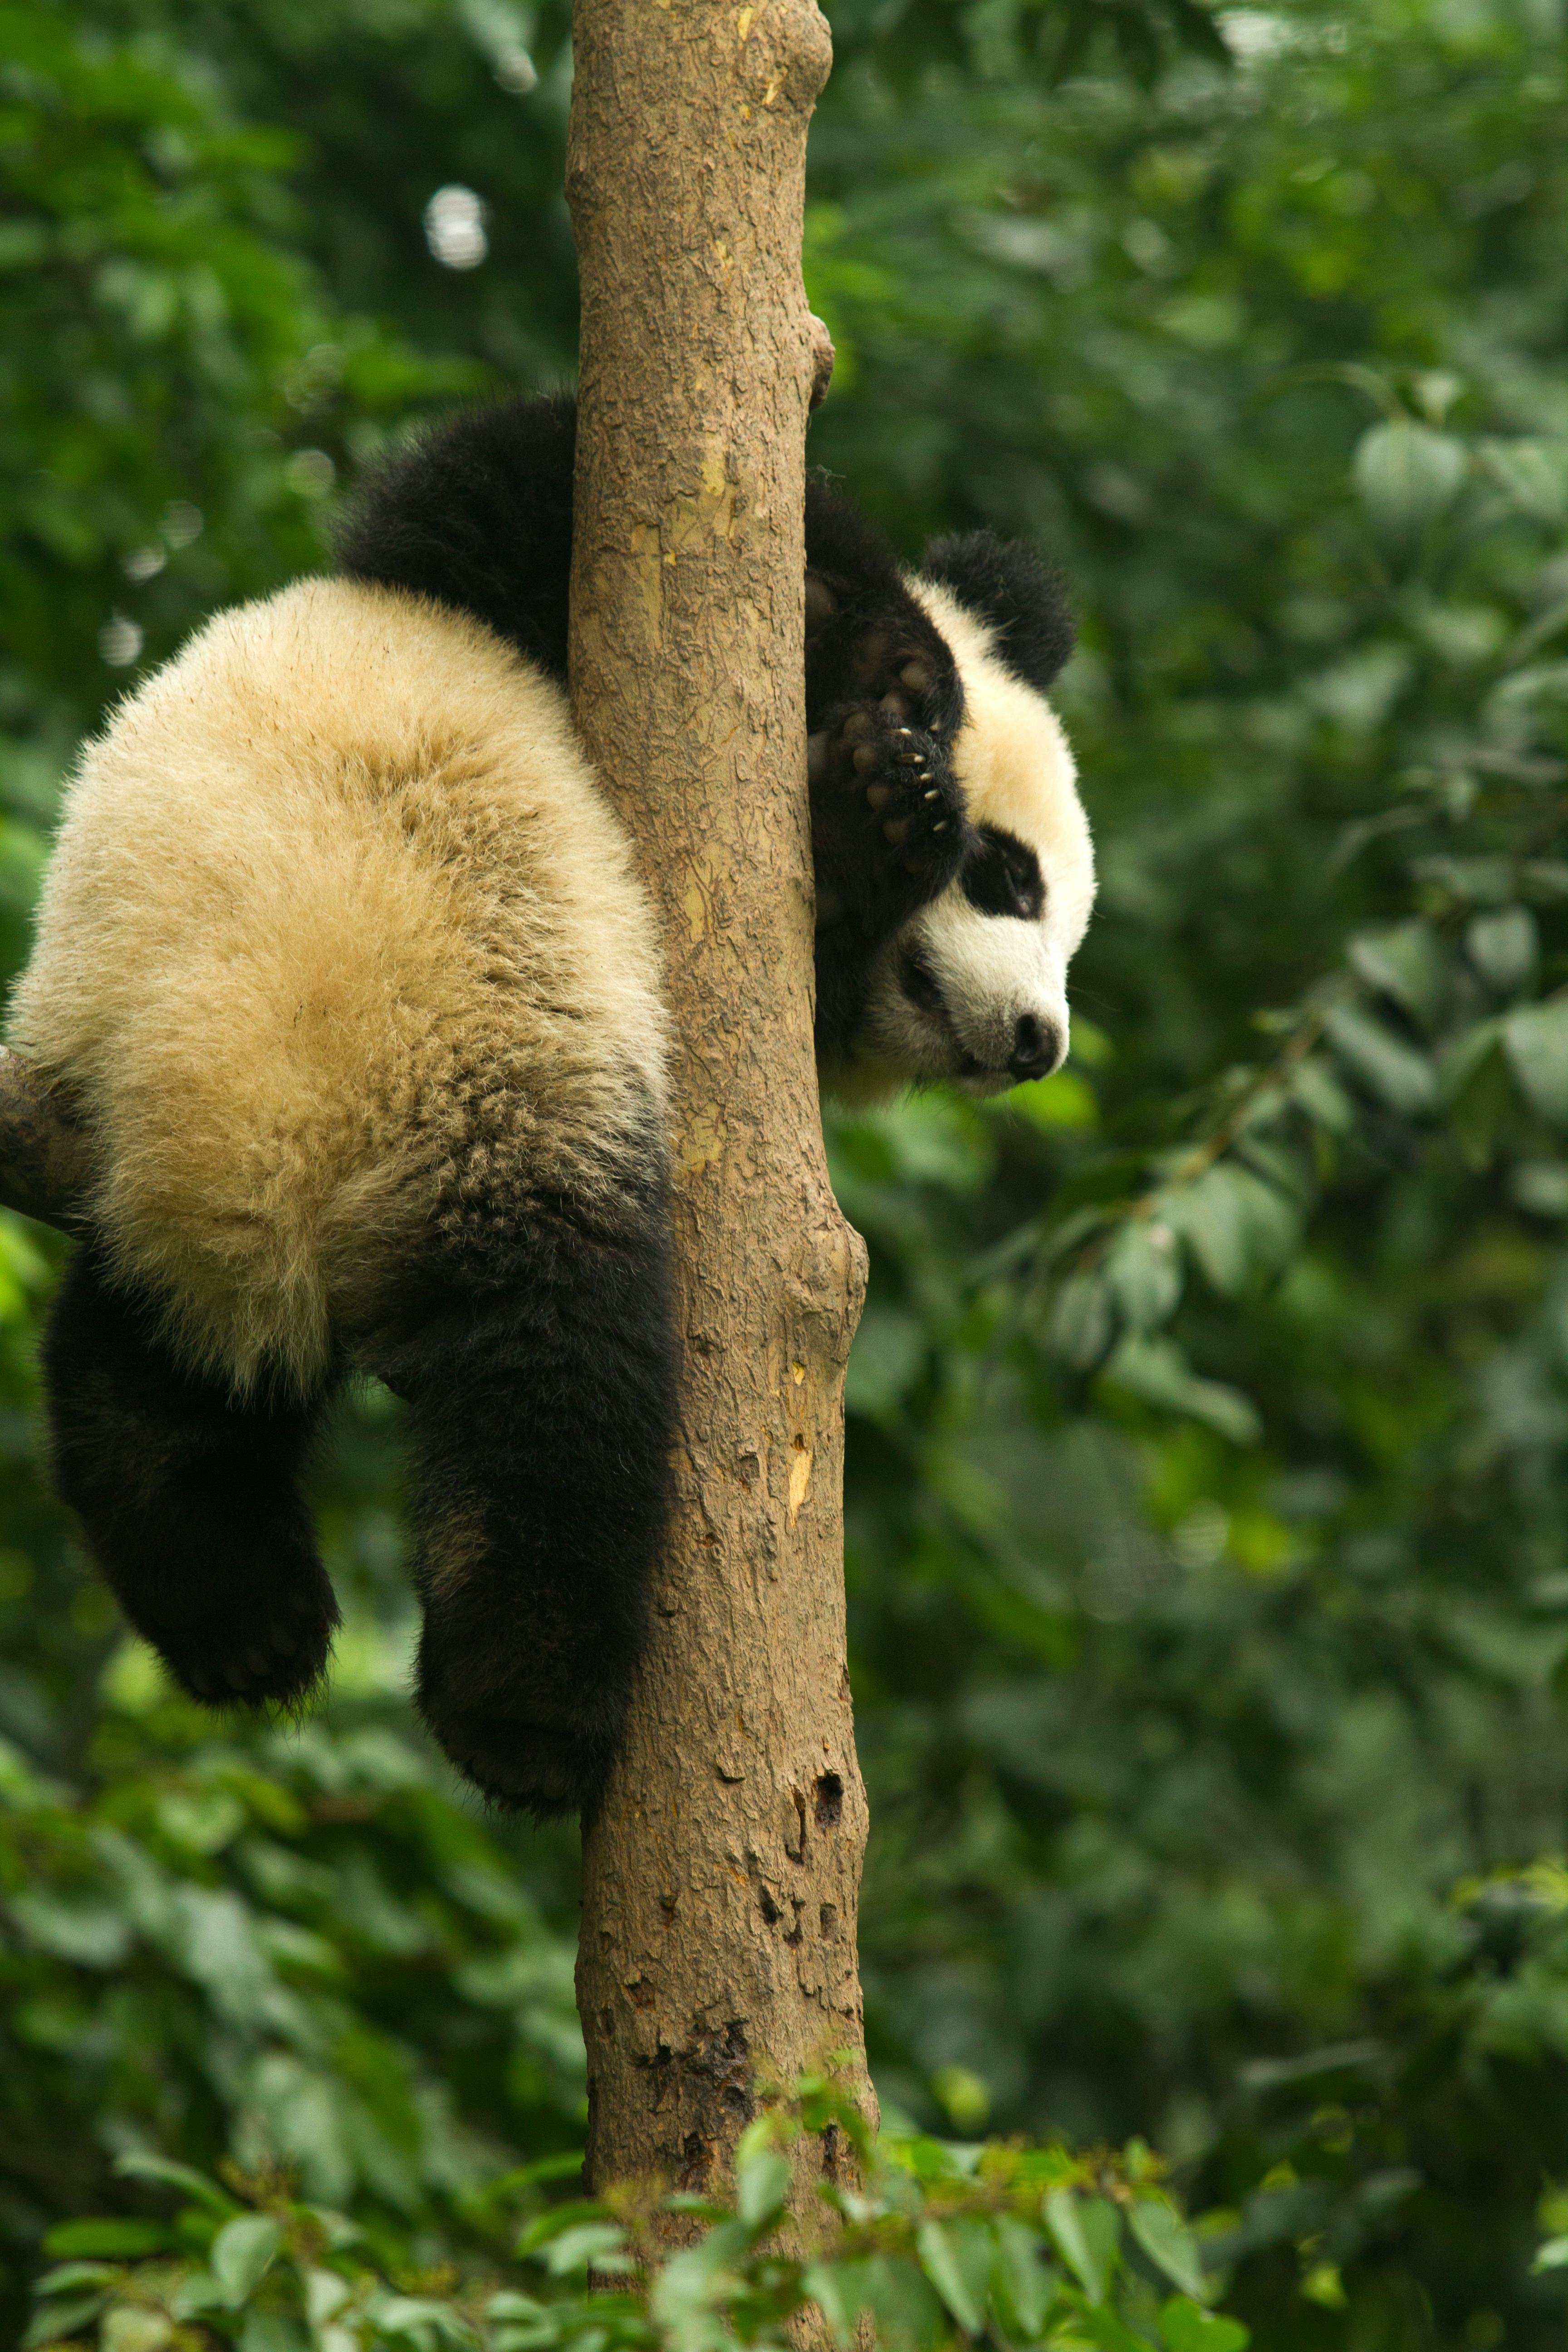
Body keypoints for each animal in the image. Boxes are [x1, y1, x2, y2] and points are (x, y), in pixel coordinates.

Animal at [8, 394, 1094, 1817]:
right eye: (1009, 877)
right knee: (560, 1381)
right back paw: (525, 1712)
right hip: (493, 1106)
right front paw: (897, 727)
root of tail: (256, 1163)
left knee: (152, 1371)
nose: (1036, 1044)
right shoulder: (487, 579)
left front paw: (878, 793)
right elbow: (504, 477)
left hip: (151, 1164)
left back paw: (237, 1610)